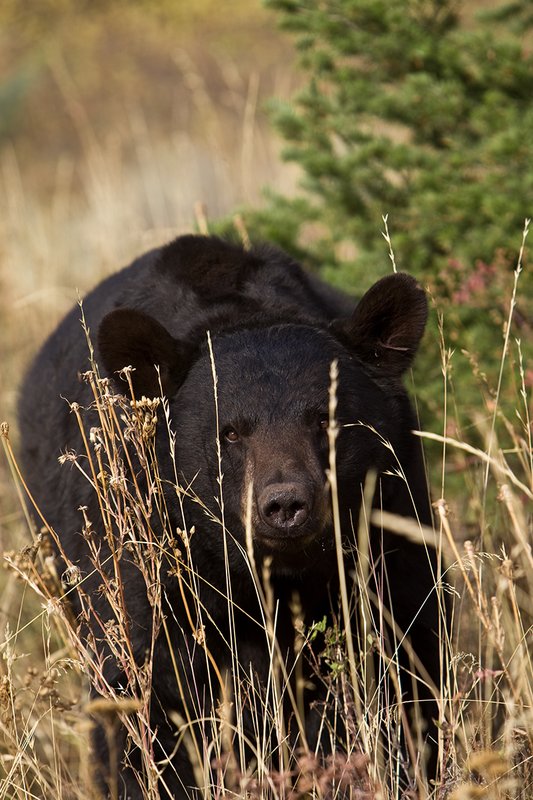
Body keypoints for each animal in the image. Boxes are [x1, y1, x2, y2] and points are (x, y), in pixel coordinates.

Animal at [19, 235, 444, 799]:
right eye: (231, 432)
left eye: (324, 418)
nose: (286, 504)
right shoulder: (148, 553)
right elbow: (146, 695)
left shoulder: (389, 528)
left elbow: (405, 661)